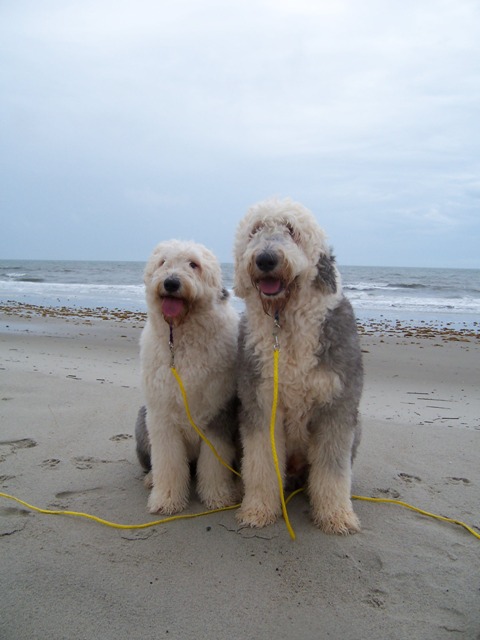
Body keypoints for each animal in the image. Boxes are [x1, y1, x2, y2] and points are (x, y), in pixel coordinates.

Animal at [137, 240, 238, 516]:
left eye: (194, 264)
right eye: (162, 262)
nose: (171, 282)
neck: (181, 342)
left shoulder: (217, 414)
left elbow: (214, 464)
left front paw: (217, 496)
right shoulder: (162, 417)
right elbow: (168, 462)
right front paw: (167, 499)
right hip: (142, 420)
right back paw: (151, 479)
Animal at [233, 198, 364, 532]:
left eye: (291, 230)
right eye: (256, 229)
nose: (266, 259)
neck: (286, 320)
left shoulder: (336, 406)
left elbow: (332, 469)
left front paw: (336, 515)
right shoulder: (261, 402)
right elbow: (262, 461)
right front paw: (258, 509)